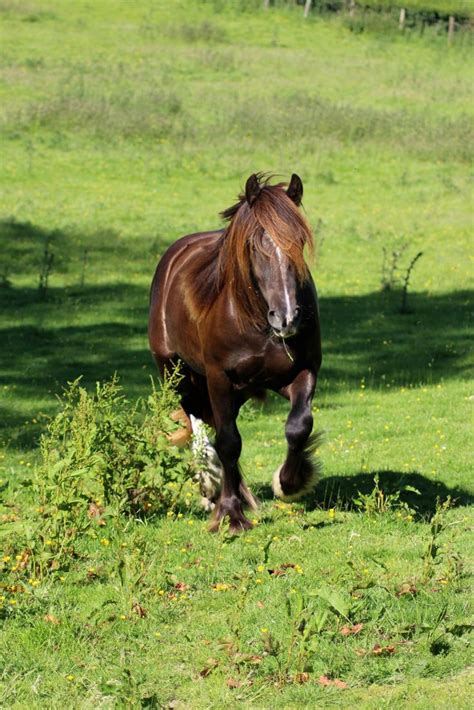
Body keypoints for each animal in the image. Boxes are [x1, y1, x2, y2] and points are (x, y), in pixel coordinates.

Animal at [149, 174, 322, 536]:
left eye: (299, 241)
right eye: (255, 244)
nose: (288, 318)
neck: (255, 320)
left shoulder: (303, 370)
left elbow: (299, 426)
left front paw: (291, 482)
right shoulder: (219, 378)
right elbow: (229, 442)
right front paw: (231, 514)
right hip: (177, 373)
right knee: (198, 423)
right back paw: (211, 485)